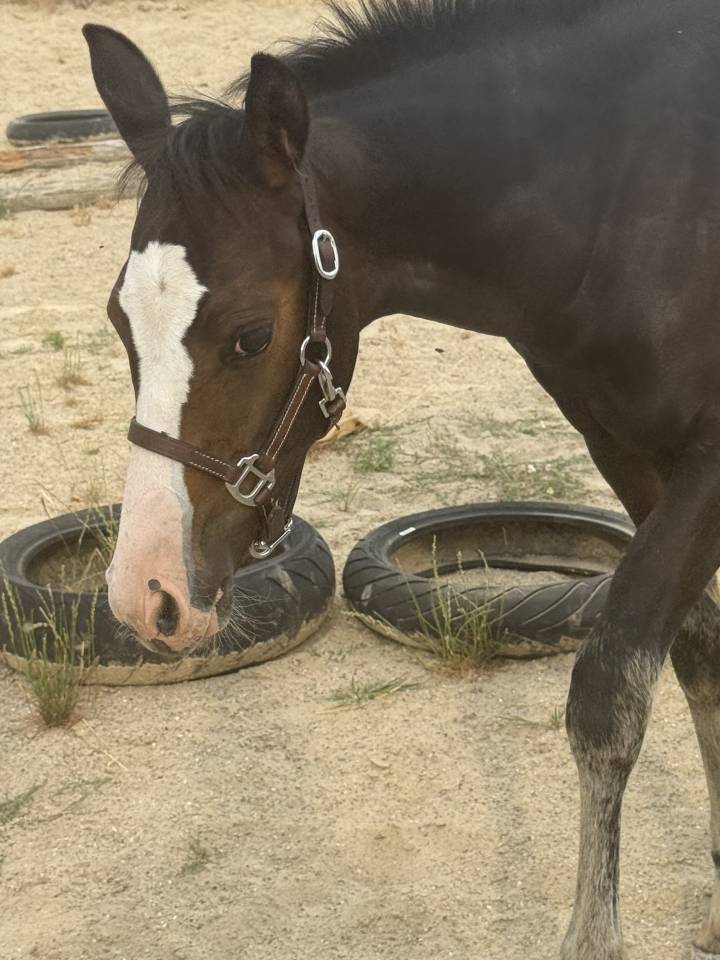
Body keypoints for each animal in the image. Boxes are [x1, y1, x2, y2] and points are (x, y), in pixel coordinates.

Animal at [83, 1, 720, 956]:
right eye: (121, 318)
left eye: (250, 336)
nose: (146, 594)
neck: (637, 185)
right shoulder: (627, 449)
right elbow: (698, 656)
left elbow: (610, 692)